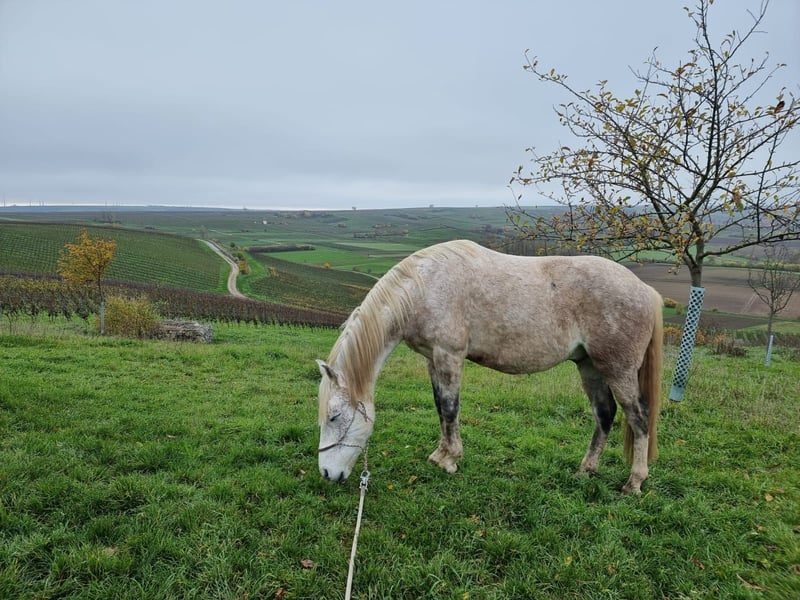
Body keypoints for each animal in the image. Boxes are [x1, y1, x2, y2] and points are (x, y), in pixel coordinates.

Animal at [316, 239, 663, 494]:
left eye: (333, 417)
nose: (327, 472)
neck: (425, 286)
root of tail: (646, 291)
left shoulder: (449, 355)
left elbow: (450, 408)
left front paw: (450, 461)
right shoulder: (432, 358)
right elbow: (440, 408)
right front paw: (440, 455)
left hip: (618, 369)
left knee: (638, 417)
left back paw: (634, 482)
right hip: (590, 366)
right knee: (604, 415)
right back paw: (585, 471)